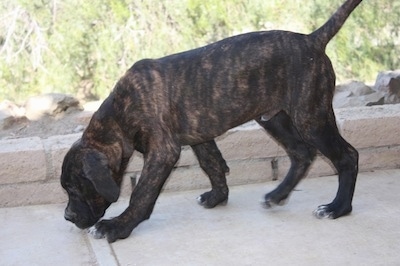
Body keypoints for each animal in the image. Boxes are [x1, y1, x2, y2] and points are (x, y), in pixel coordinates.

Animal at [61, 0, 362, 242]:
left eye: (75, 189)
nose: (67, 217)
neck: (120, 114)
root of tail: (311, 40)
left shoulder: (163, 151)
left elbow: (142, 192)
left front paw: (117, 226)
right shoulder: (199, 138)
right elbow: (213, 164)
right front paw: (218, 197)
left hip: (311, 118)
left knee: (347, 155)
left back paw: (337, 208)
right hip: (275, 118)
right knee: (301, 153)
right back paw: (277, 195)